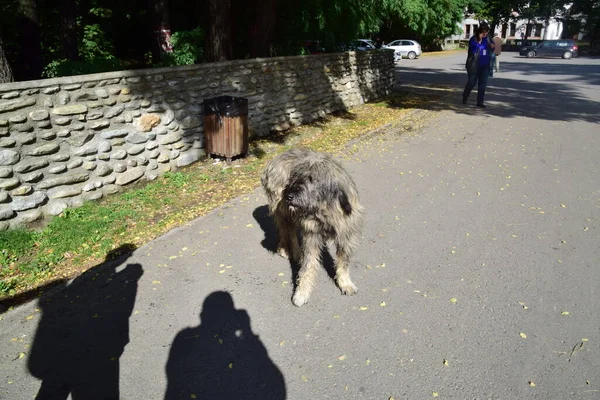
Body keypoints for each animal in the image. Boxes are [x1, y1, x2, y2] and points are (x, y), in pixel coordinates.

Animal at [260, 147, 364, 306]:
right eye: (295, 176)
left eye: (311, 179)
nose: (288, 195)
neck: (326, 208)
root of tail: (274, 160)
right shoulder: (312, 234)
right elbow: (308, 265)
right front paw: (302, 292)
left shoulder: (346, 234)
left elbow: (343, 262)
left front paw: (346, 283)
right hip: (283, 209)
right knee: (287, 230)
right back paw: (290, 250)